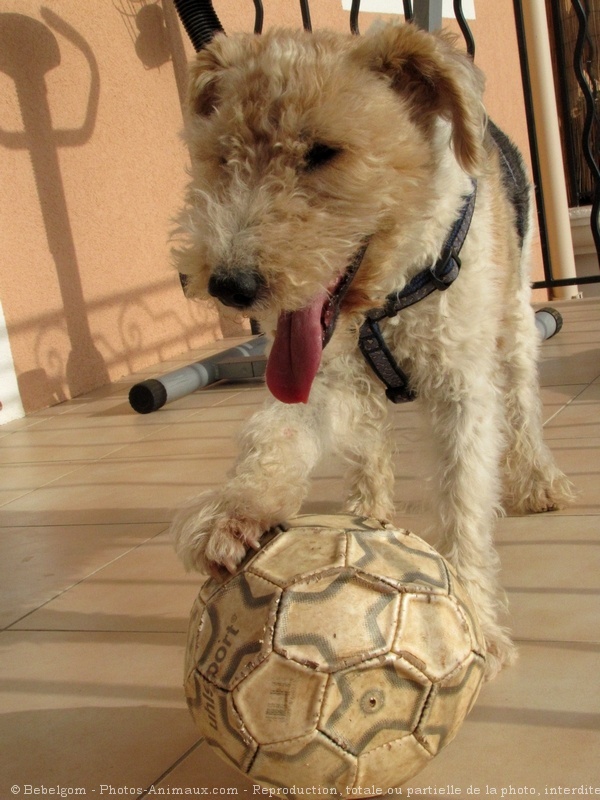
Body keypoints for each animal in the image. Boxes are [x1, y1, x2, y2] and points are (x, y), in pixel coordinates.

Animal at [171, 21, 576, 680]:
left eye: (322, 152)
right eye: (223, 156)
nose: (229, 284)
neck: (391, 289)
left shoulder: (465, 388)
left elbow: (464, 499)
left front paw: (475, 626)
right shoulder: (323, 373)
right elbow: (276, 431)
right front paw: (236, 513)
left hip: (515, 318)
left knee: (523, 402)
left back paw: (541, 482)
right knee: (368, 446)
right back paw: (365, 511)